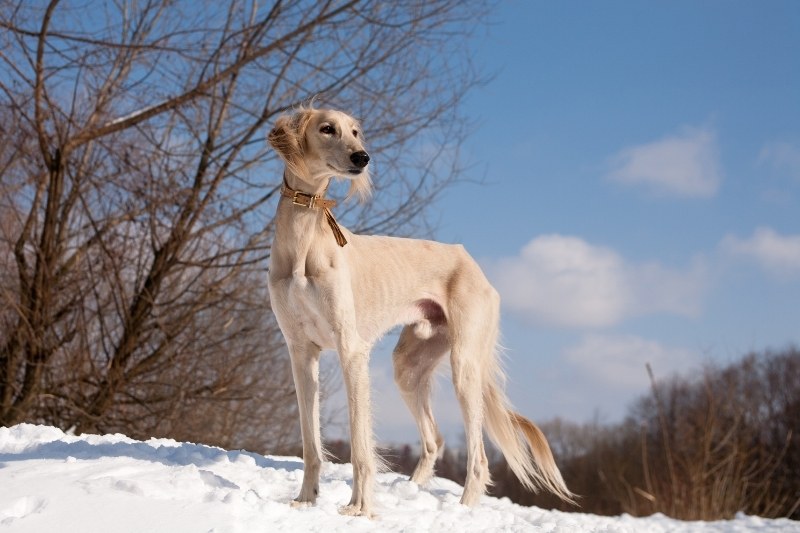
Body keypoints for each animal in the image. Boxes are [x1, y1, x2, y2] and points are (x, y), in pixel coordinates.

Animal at [268, 107, 576, 516]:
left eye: (355, 132)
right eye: (327, 128)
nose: (362, 158)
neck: (305, 242)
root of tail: (472, 263)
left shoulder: (351, 350)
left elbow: (361, 444)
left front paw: (360, 508)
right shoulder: (301, 353)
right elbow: (310, 441)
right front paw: (305, 500)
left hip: (465, 366)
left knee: (478, 459)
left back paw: (462, 511)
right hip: (409, 366)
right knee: (434, 440)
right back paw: (413, 492)